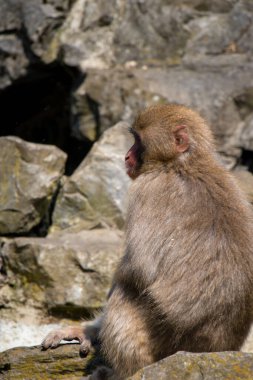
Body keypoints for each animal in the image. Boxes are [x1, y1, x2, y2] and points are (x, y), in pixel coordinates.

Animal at [41, 104, 253, 380]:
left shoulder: (146, 189)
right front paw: (84, 330)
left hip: (164, 345)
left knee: (125, 293)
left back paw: (120, 372)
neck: (180, 164)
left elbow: (140, 268)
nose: (126, 157)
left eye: (138, 141)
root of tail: (216, 349)